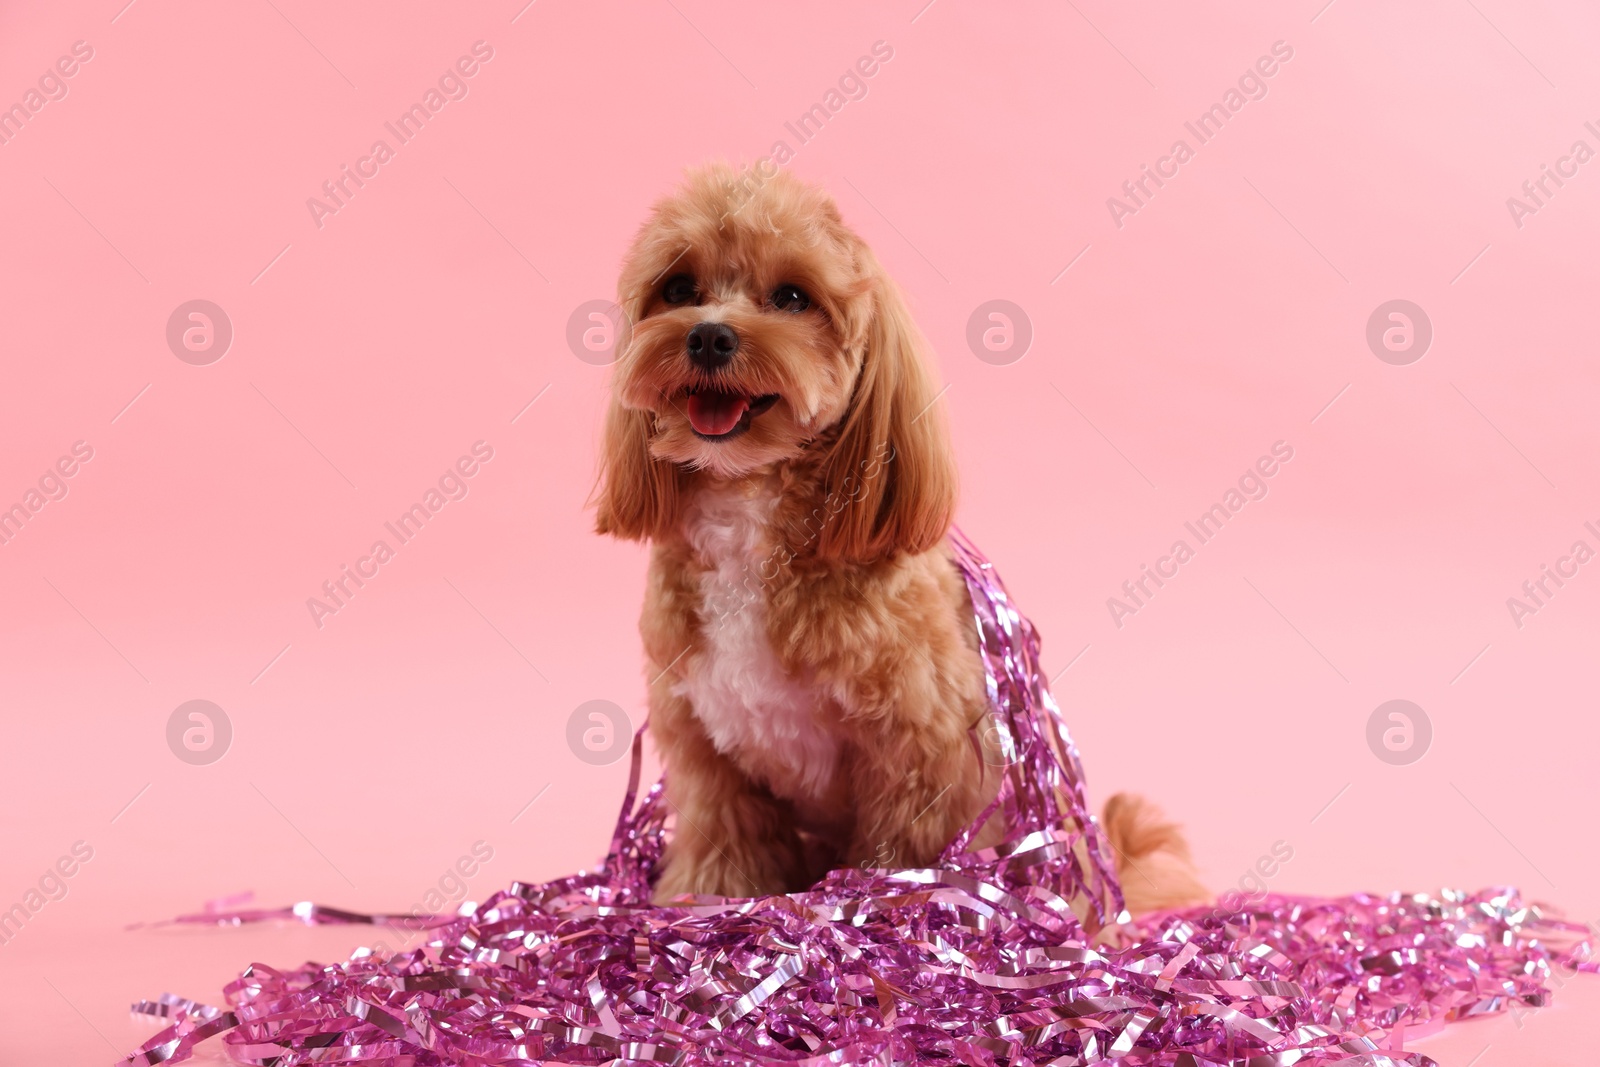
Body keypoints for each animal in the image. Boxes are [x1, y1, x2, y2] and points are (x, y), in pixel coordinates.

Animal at [598, 163, 1203, 915]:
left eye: (792, 297)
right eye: (678, 290)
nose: (709, 336)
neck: (751, 512)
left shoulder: (922, 752)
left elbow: (905, 857)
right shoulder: (709, 754)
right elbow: (722, 849)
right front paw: (701, 905)